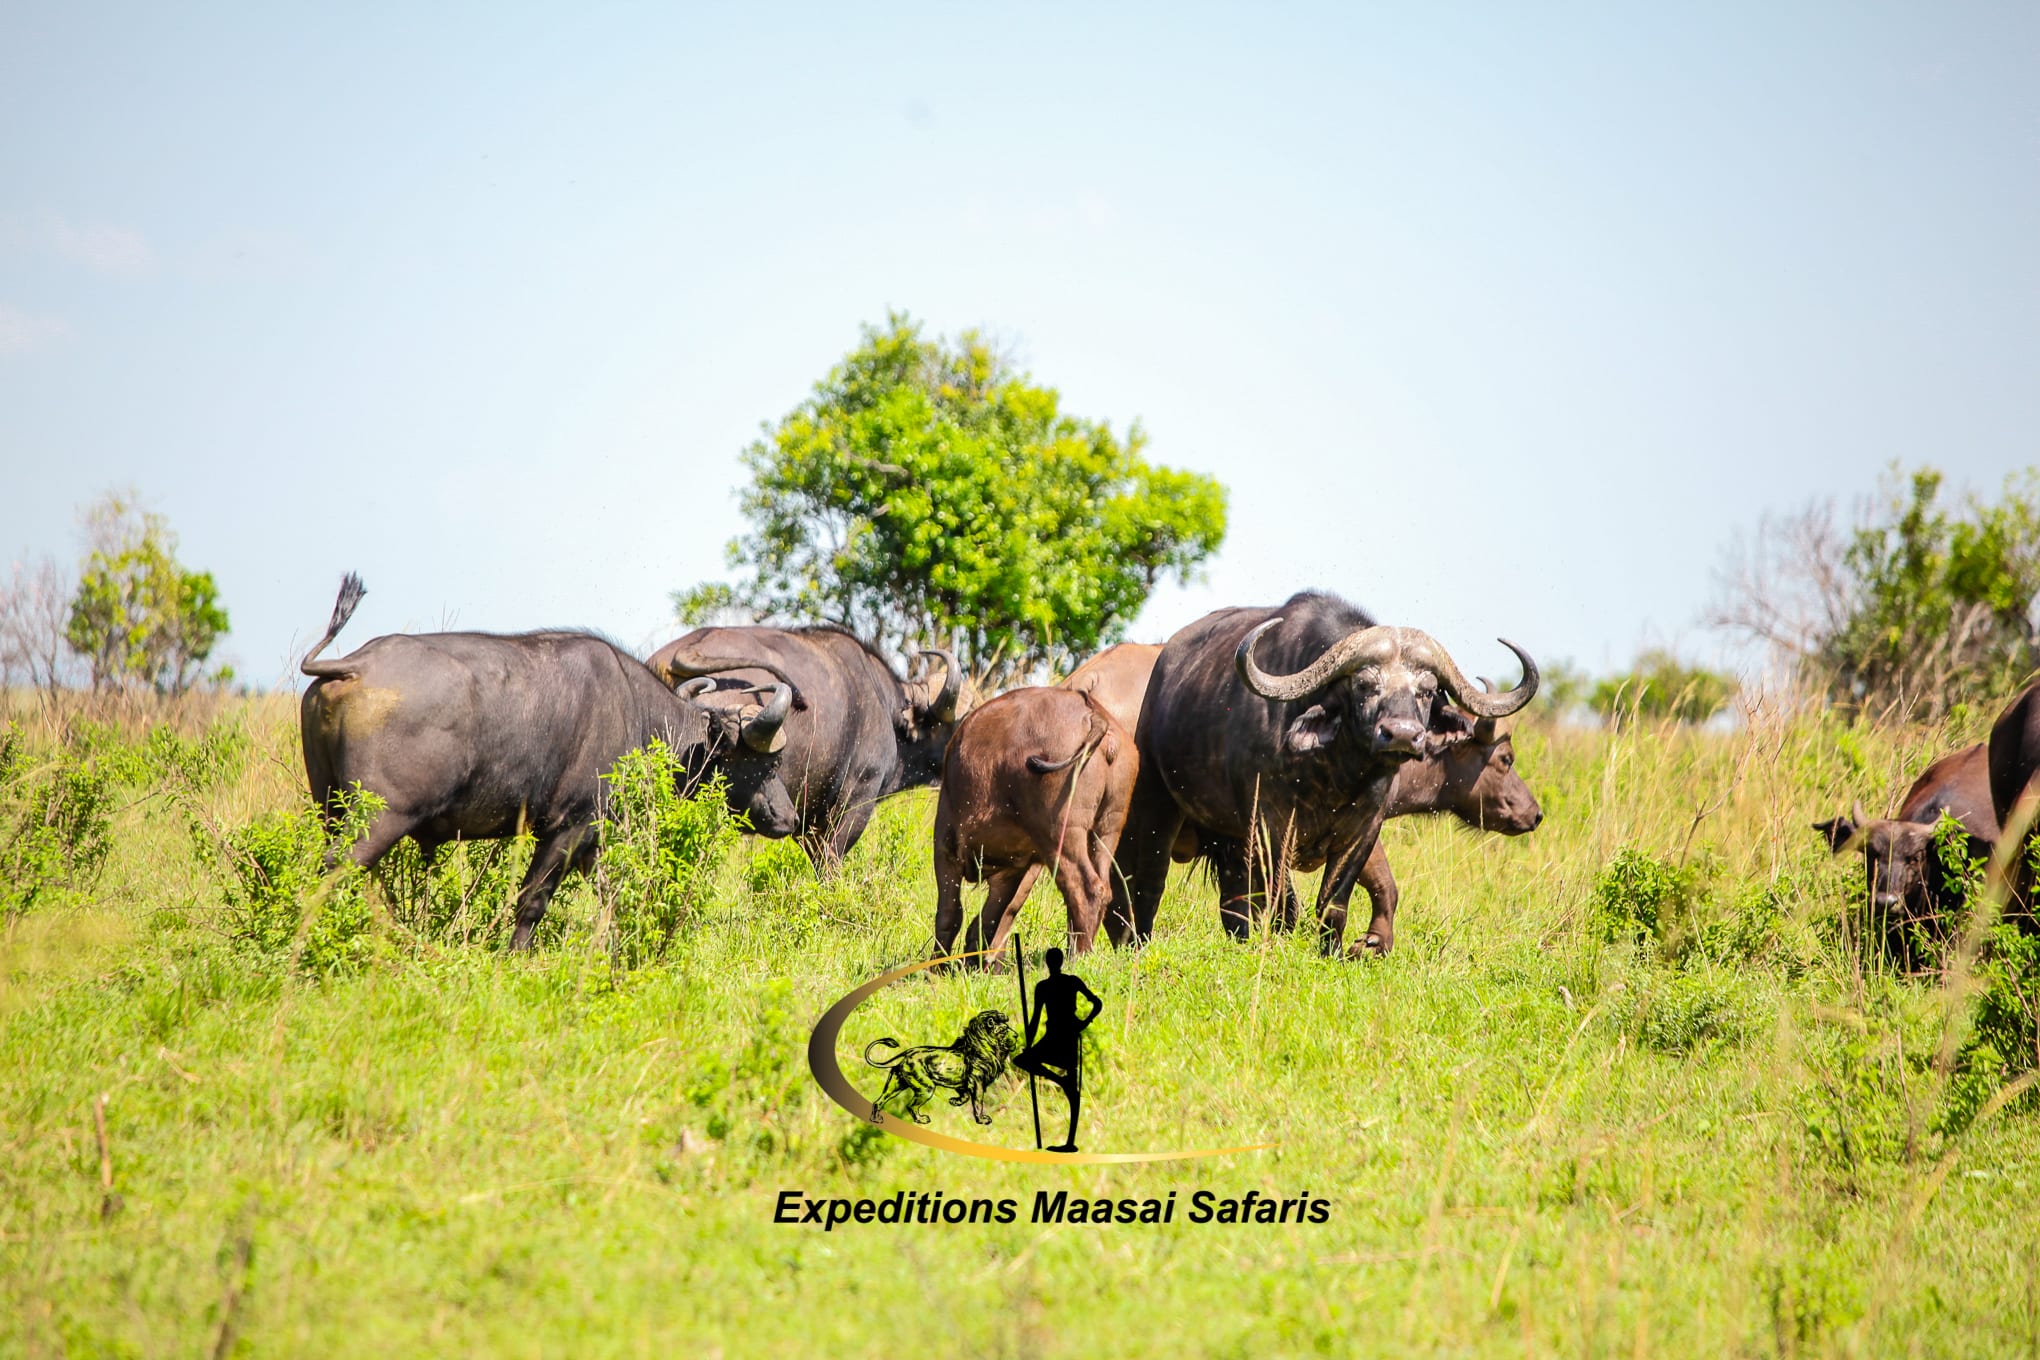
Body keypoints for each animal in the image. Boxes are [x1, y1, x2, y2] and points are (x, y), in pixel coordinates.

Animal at [299, 576, 798, 949]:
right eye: (768, 765)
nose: (789, 818)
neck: (639, 716)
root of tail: (356, 665)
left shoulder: (594, 838)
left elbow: (614, 894)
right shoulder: (568, 826)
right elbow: (532, 900)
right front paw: (515, 957)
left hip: (330, 806)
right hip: (380, 818)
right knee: (338, 872)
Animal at [932, 687, 1135, 962]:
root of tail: (1094, 715)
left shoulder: (945, 847)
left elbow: (950, 916)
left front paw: (936, 967)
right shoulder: (1012, 870)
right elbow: (987, 923)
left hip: (1060, 833)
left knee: (1085, 890)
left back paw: (1077, 957)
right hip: (1107, 829)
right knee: (1103, 889)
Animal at [1107, 591, 1537, 957]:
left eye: (1427, 690)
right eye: (1364, 684)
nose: (1401, 734)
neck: (1333, 775)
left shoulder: (1363, 830)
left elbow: (1340, 901)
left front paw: (1346, 950)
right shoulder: (1268, 826)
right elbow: (1284, 902)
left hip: (1226, 836)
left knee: (1232, 902)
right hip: (1154, 807)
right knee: (1144, 881)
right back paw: (1134, 944)